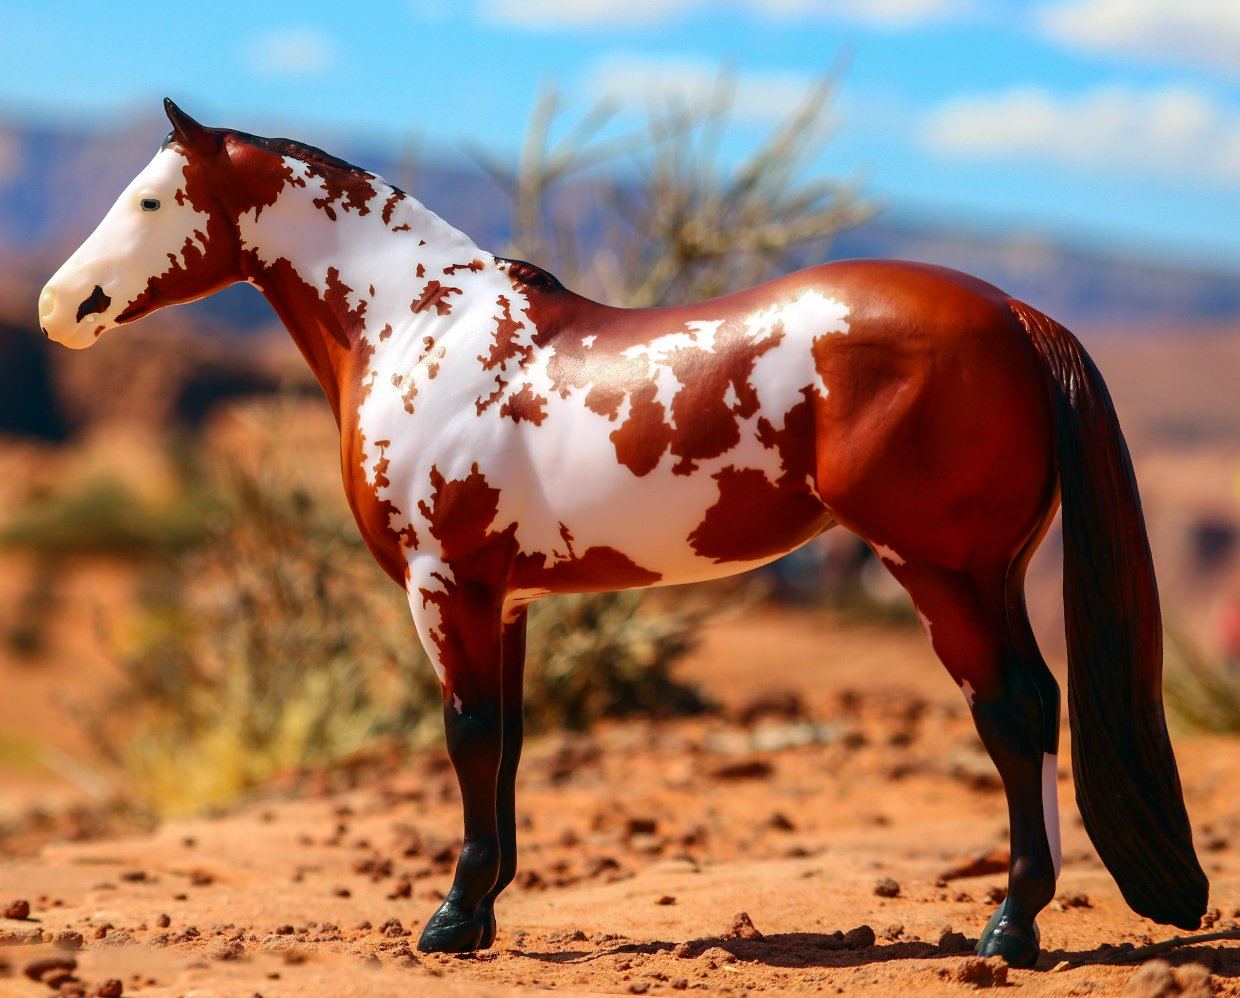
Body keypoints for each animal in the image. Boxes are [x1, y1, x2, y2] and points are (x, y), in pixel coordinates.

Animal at [43, 102, 1205, 967]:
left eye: (149, 198)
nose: (61, 304)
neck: (422, 328)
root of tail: (1013, 314)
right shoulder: (502, 597)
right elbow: (506, 744)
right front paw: (486, 909)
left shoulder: (443, 586)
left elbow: (466, 734)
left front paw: (450, 921)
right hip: (990, 571)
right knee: (1038, 706)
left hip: (939, 570)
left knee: (1011, 712)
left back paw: (1008, 930)